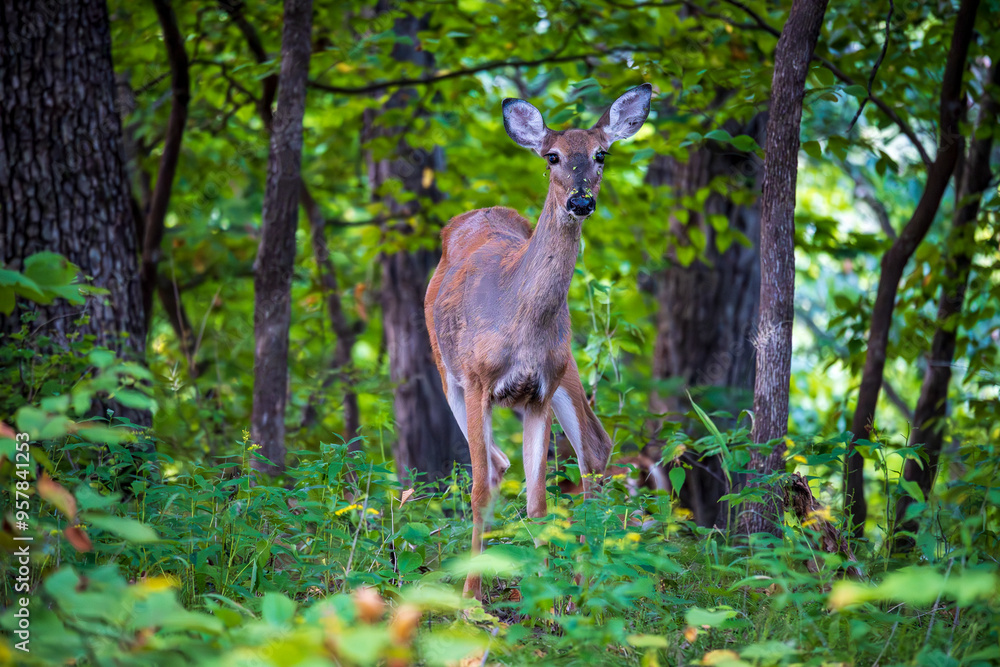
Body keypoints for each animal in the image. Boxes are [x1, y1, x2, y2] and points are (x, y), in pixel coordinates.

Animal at [424, 83, 652, 600]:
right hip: (447, 374)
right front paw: (470, 598)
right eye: (552, 156)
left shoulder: (540, 390)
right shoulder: (477, 380)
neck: (517, 318)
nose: (581, 201)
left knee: (594, 447)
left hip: (566, 363)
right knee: (495, 465)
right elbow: (480, 489)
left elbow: (539, 502)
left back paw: (584, 583)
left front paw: (545, 599)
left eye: (601, 154)